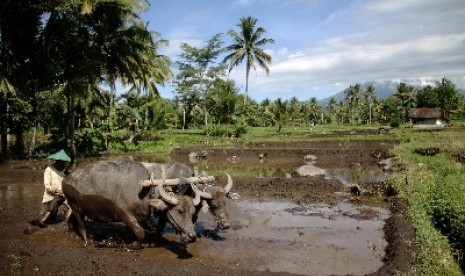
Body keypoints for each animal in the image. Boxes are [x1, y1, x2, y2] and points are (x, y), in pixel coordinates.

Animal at [62, 161, 198, 249]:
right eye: (179, 211)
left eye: (192, 213)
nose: (192, 236)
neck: (146, 193)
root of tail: (66, 179)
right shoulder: (125, 214)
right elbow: (140, 233)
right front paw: (132, 245)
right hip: (76, 207)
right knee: (81, 224)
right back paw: (88, 240)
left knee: (70, 217)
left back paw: (71, 230)